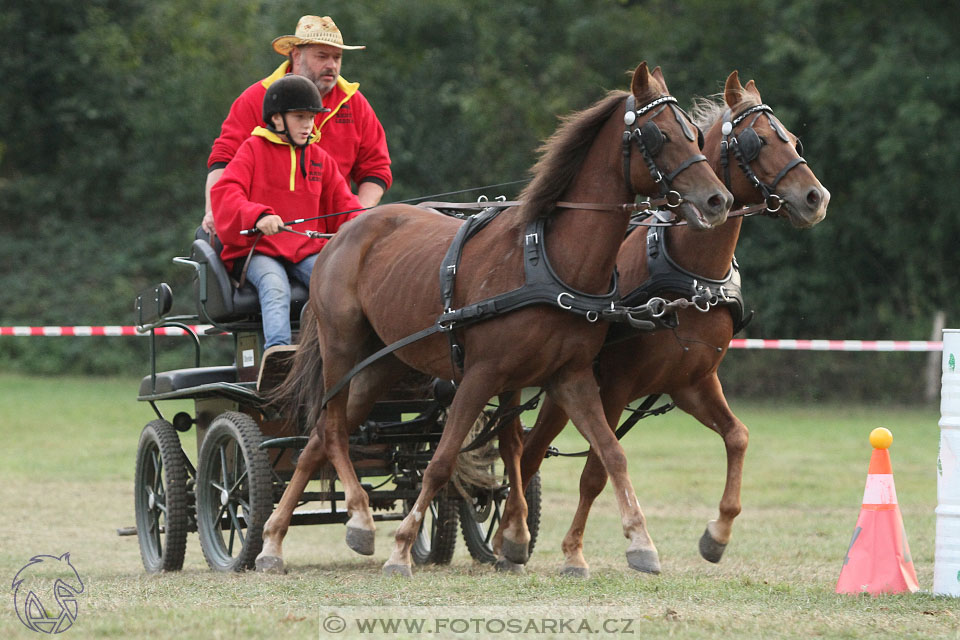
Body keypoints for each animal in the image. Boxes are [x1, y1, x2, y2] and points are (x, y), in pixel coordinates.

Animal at [258, 63, 732, 576]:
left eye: (693, 133)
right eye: (658, 134)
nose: (718, 200)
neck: (548, 261)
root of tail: (342, 233)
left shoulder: (571, 377)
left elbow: (610, 454)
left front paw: (639, 543)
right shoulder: (480, 375)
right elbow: (441, 462)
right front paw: (402, 548)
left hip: (383, 364)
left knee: (319, 438)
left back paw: (278, 539)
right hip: (343, 349)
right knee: (332, 430)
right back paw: (351, 519)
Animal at [512, 70, 828, 576]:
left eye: (794, 139)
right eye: (756, 141)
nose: (816, 197)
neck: (691, 274)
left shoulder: (691, 381)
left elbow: (738, 437)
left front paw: (717, 535)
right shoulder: (616, 385)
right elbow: (596, 471)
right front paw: (579, 551)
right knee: (529, 454)